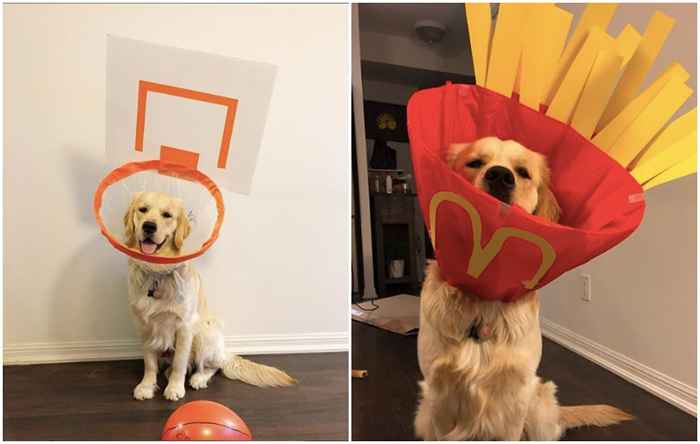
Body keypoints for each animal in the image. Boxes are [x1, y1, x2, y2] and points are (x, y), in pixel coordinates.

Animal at [124, 192, 294, 402]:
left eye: (167, 215)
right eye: (143, 210)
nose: (149, 226)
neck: (157, 272)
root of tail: (224, 352)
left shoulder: (185, 325)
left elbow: (180, 361)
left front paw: (175, 388)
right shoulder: (143, 324)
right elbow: (149, 362)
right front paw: (146, 386)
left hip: (205, 332)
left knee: (212, 366)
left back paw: (198, 378)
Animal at [412, 138, 632, 440]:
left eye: (523, 172)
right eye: (475, 163)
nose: (500, 176)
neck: (485, 306)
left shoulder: (515, 398)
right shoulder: (439, 395)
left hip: (539, 401)